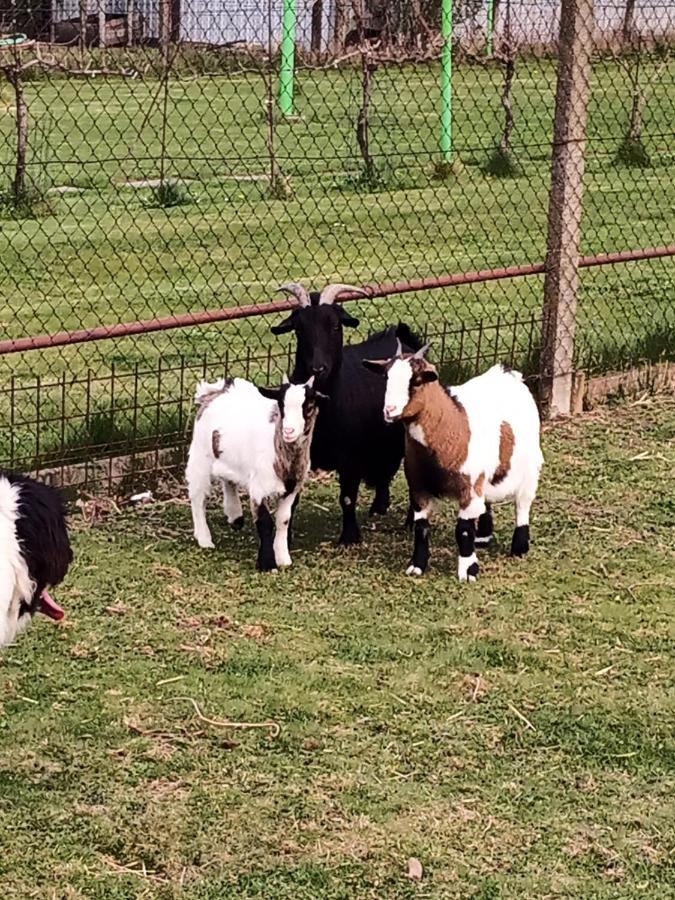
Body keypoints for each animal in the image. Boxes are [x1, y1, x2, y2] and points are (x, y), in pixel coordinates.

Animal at [270, 284, 422, 544]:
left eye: (335, 326)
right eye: (299, 329)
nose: (318, 368)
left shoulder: (350, 456)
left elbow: (348, 496)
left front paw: (350, 536)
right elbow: (292, 498)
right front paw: (285, 537)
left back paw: (411, 520)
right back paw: (379, 506)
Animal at [364, 344, 544, 584]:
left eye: (416, 381)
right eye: (386, 376)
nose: (389, 410)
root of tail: (507, 372)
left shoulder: (468, 487)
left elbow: (463, 530)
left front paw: (469, 571)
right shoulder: (419, 488)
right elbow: (421, 528)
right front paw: (417, 566)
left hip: (530, 467)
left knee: (523, 504)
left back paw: (519, 547)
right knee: (486, 503)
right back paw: (483, 538)